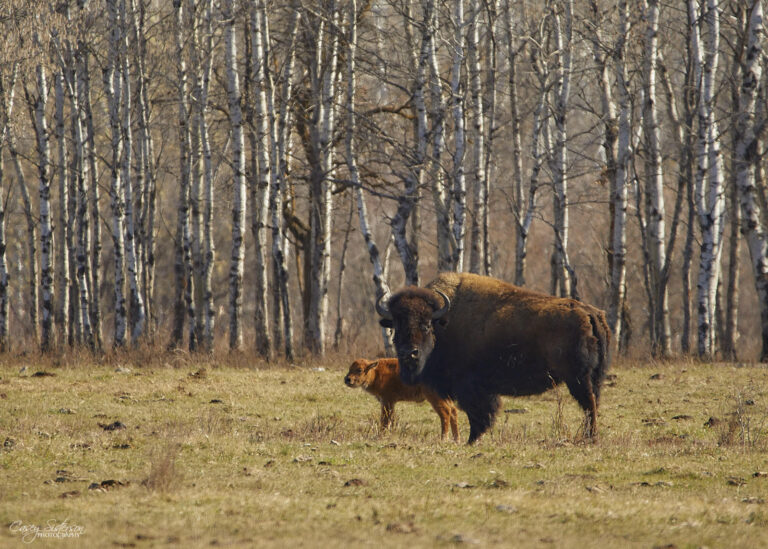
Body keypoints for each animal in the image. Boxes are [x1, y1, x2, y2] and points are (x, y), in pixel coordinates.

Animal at [375, 272, 611, 444]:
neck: (444, 323)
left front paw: (471, 440)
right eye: (396, 326)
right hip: (594, 377)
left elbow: (479, 415)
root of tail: (589, 313)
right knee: (593, 404)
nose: (409, 353)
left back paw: (590, 438)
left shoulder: (472, 388)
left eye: (425, 325)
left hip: (578, 378)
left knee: (589, 403)